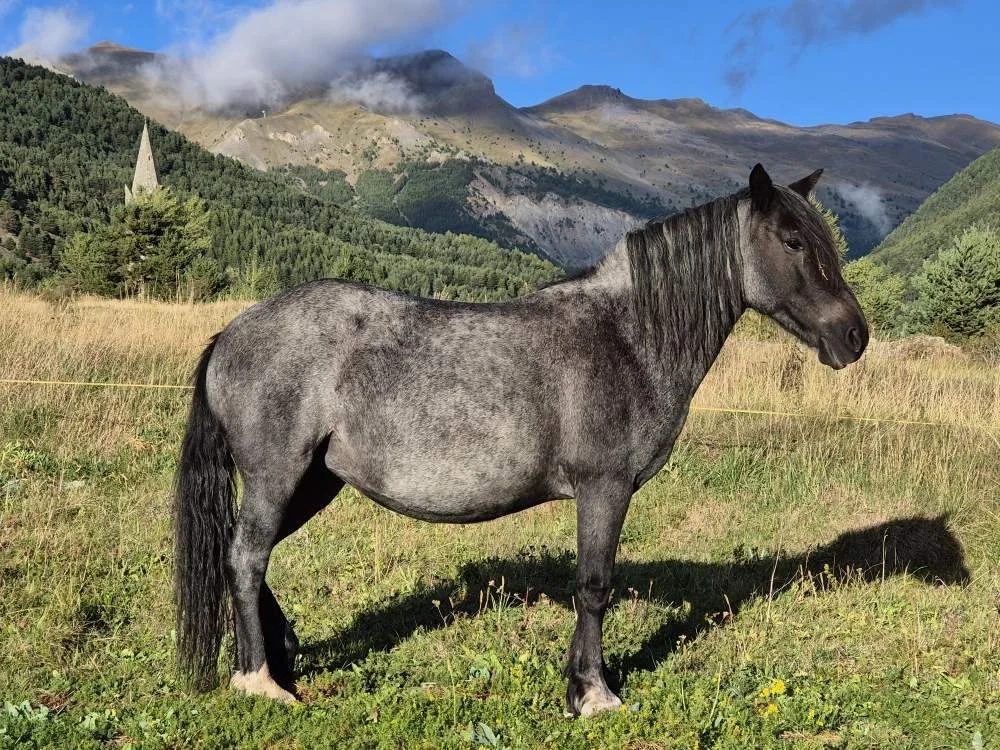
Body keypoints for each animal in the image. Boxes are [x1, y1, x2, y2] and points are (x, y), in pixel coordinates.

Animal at [173, 163, 868, 716]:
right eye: (793, 239)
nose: (855, 336)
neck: (625, 335)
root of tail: (231, 333)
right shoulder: (604, 488)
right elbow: (594, 586)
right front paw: (593, 693)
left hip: (314, 481)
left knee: (247, 553)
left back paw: (283, 654)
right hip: (278, 474)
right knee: (245, 556)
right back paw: (260, 679)